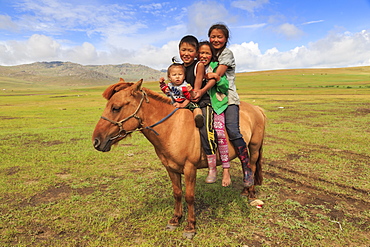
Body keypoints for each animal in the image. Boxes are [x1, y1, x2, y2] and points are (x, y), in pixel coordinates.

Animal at [92, 78, 266, 238]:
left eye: (116, 108)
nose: (96, 141)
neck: (172, 128)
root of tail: (257, 108)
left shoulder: (190, 168)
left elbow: (189, 197)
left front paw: (190, 227)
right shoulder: (171, 168)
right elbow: (177, 193)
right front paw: (175, 219)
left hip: (254, 147)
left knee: (251, 166)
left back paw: (251, 194)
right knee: (246, 165)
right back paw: (244, 190)